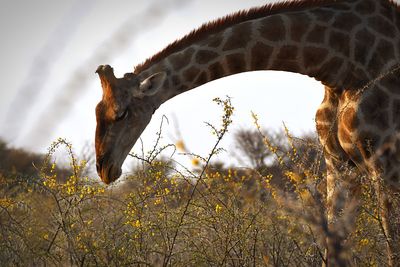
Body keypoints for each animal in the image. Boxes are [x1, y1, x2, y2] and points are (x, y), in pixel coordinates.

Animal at [95, 1, 400, 266]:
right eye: (96, 111)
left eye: (120, 113)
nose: (103, 168)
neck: (340, 65)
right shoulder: (339, 163)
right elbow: (335, 250)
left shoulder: (385, 161)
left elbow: (391, 247)